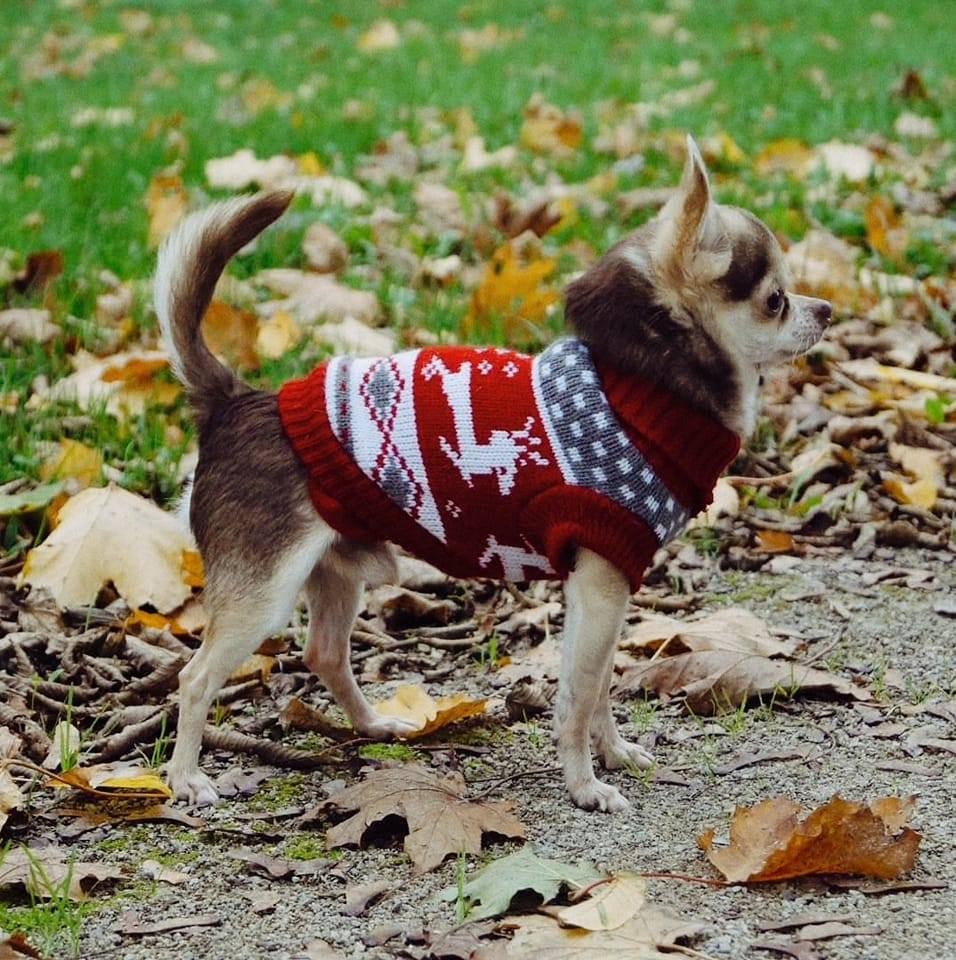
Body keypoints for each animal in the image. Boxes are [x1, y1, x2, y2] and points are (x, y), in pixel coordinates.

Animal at [155, 135, 828, 808]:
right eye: (775, 300)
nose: (824, 308)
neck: (641, 389)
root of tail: (233, 401)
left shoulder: (604, 585)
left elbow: (600, 685)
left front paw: (612, 755)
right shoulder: (600, 581)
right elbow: (581, 693)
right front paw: (586, 785)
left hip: (337, 567)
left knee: (324, 653)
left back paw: (374, 726)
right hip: (264, 593)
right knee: (195, 677)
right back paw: (186, 778)